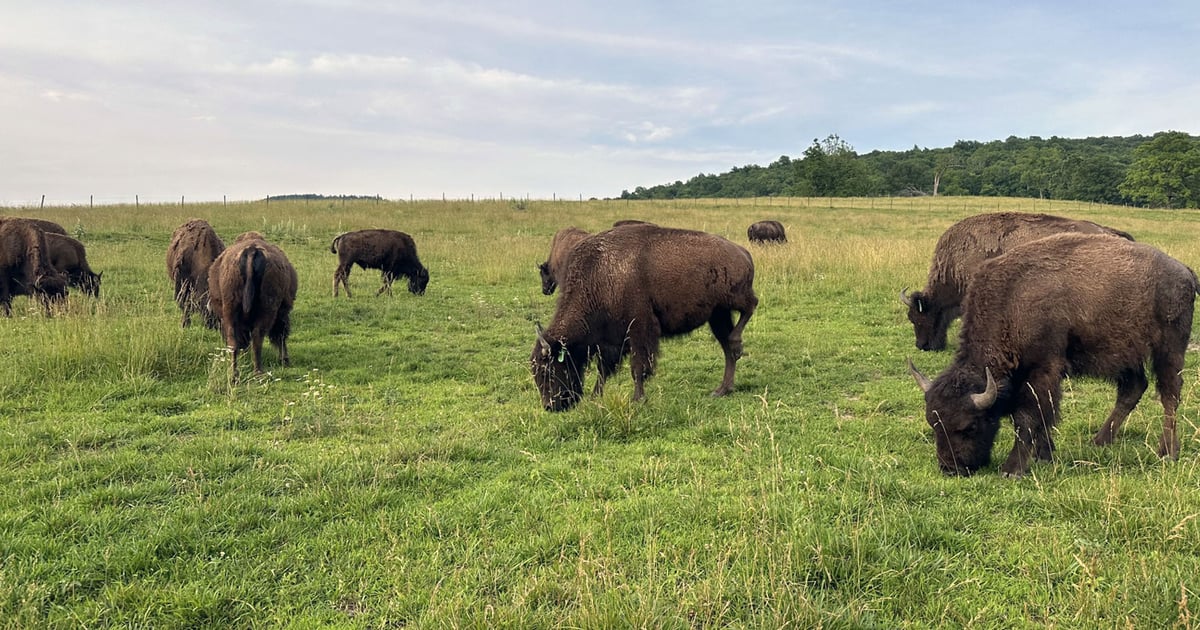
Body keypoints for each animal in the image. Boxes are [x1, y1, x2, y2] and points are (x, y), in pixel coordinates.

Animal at [207, 232, 298, 380]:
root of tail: (251, 250)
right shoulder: (283, 311)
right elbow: (281, 334)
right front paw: (284, 360)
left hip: (231, 308)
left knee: (234, 340)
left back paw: (234, 375)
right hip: (268, 309)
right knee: (258, 336)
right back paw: (258, 371)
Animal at [531, 223, 757, 411]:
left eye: (547, 370)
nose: (550, 406)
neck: (599, 276)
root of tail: (743, 253)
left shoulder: (639, 331)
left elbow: (638, 367)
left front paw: (637, 399)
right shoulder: (610, 341)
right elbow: (604, 370)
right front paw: (595, 397)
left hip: (733, 298)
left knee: (750, 308)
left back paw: (736, 345)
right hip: (718, 314)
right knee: (728, 349)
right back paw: (722, 389)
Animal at [908, 233, 1196, 478]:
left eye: (970, 426)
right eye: (934, 424)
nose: (951, 468)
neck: (1012, 301)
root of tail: (1185, 271)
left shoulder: (1042, 369)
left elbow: (1029, 417)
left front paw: (1013, 469)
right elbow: (1044, 416)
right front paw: (1044, 455)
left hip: (1169, 349)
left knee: (1170, 396)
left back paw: (1167, 452)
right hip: (1127, 353)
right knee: (1133, 389)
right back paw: (1100, 441)